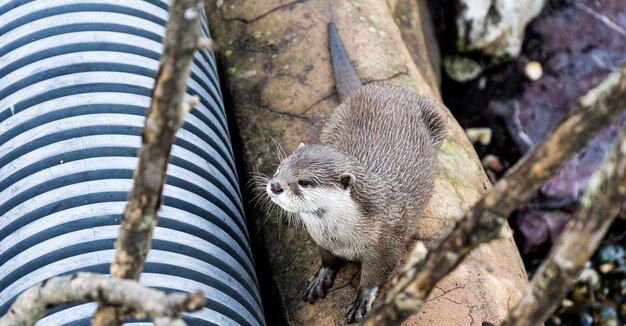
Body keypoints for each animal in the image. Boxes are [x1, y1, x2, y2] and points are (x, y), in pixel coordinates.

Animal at [264, 22, 444, 324]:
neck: (343, 235)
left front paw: (361, 301)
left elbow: (374, 275)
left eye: (304, 181)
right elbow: (326, 259)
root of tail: (373, 88)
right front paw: (321, 279)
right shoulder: (321, 240)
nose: (275, 186)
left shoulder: (387, 244)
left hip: (436, 115)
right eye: (280, 167)